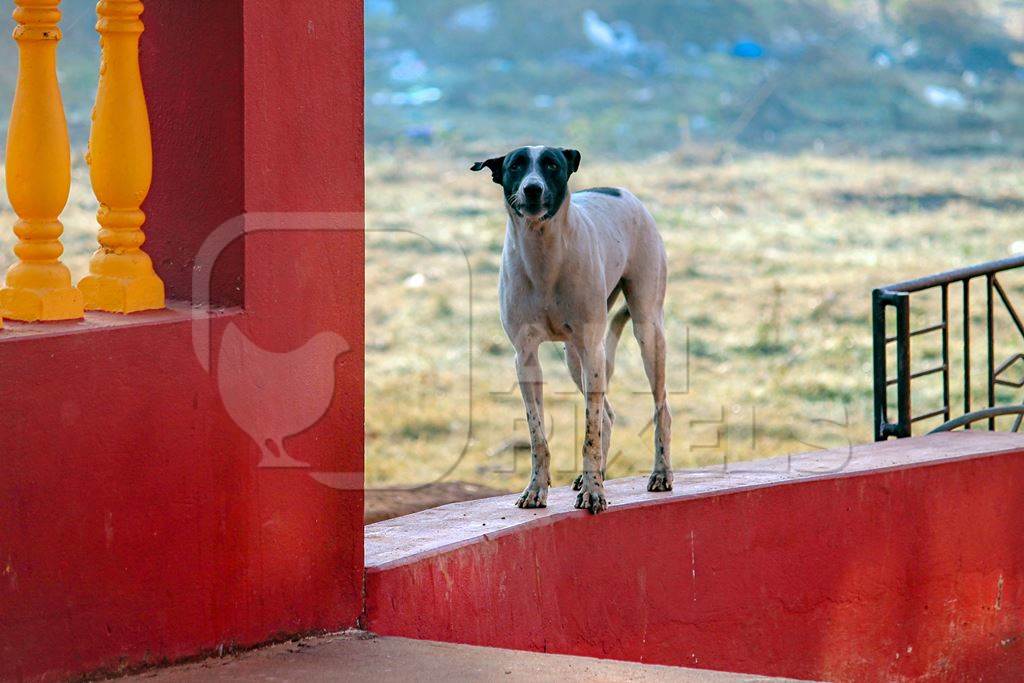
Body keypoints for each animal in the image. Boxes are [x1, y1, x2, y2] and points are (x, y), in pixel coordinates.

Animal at [471, 145, 671, 511]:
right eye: (516, 166)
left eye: (552, 165)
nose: (532, 189)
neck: (544, 257)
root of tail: (620, 191)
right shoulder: (525, 357)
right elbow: (537, 434)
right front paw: (536, 489)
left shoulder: (592, 347)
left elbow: (589, 433)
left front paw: (594, 493)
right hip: (573, 359)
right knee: (607, 415)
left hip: (645, 332)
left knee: (661, 409)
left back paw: (661, 472)